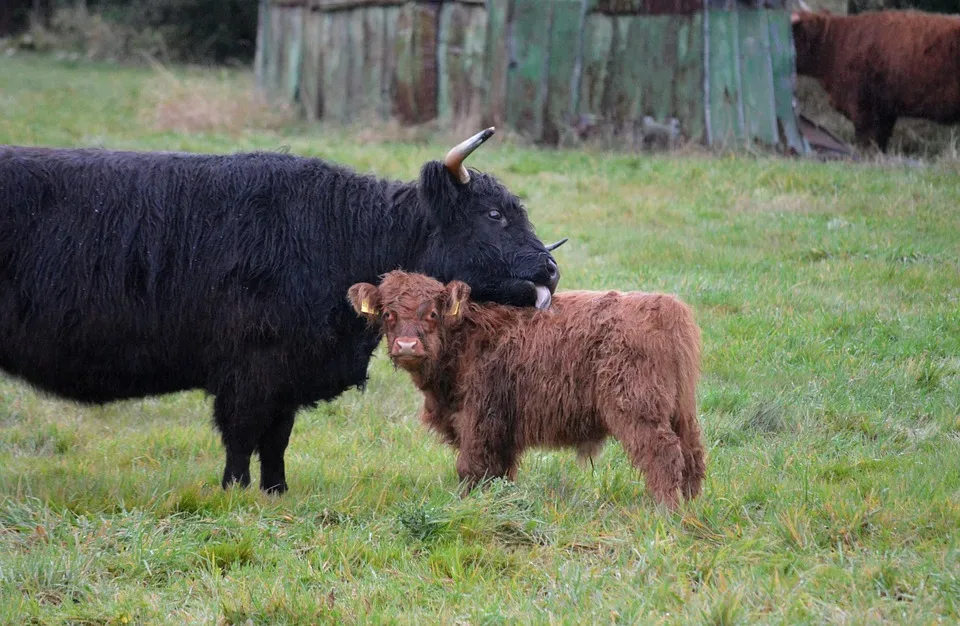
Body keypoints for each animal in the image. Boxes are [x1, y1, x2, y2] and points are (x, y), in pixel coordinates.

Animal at [0, 129, 564, 492]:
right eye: (493, 214)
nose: (551, 270)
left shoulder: (288, 373)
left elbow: (276, 439)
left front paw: (276, 491)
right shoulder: (250, 368)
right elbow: (242, 435)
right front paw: (234, 491)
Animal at [346, 270, 704, 510]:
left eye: (432, 313)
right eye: (388, 314)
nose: (407, 345)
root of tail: (664, 306)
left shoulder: (479, 418)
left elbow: (471, 467)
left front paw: (467, 507)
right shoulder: (501, 427)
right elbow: (500, 472)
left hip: (637, 407)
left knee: (663, 454)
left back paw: (665, 512)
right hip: (681, 410)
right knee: (692, 454)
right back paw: (691, 507)